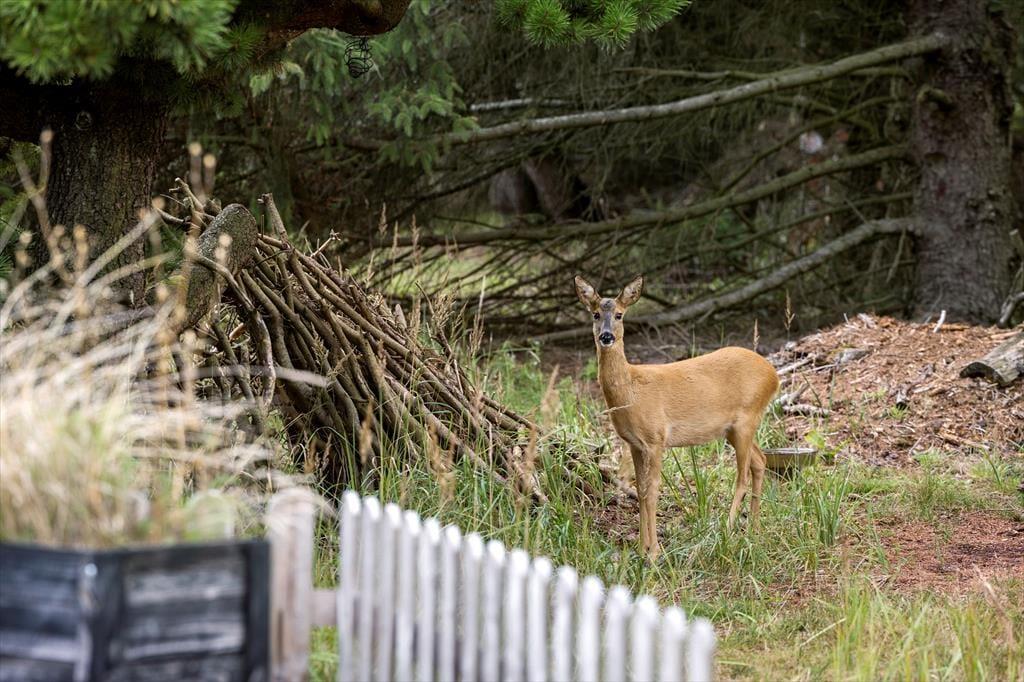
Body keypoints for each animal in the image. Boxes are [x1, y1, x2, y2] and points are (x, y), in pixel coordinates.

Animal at [574, 275, 780, 560]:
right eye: (594, 314)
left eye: (619, 314)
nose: (606, 336)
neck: (631, 393)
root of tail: (774, 374)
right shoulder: (634, 444)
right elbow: (640, 490)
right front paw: (641, 548)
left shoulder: (656, 438)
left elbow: (652, 491)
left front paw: (653, 553)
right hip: (735, 428)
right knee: (760, 461)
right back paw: (754, 530)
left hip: (746, 419)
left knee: (742, 476)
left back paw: (726, 532)